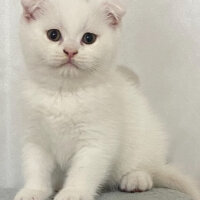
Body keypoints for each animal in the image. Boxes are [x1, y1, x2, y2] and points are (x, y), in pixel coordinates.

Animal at [14, 0, 200, 200]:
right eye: (53, 35)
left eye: (88, 38)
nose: (70, 51)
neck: (65, 94)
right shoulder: (35, 137)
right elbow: (35, 167)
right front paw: (34, 190)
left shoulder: (96, 139)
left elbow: (83, 170)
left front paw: (73, 192)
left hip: (145, 137)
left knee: (147, 167)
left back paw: (136, 179)